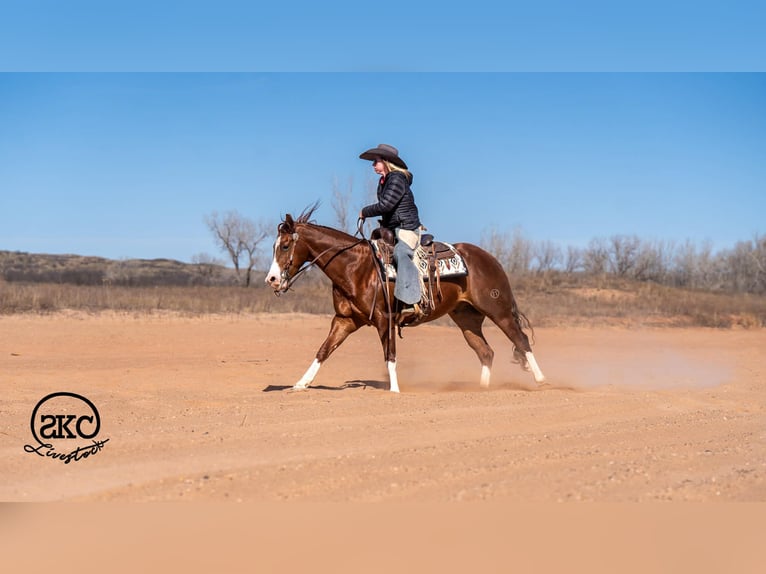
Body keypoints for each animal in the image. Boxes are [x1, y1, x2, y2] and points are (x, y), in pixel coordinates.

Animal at [265, 205, 545, 393]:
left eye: (286, 245)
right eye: (275, 246)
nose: (272, 279)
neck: (357, 267)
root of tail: (491, 259)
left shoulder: (385, 318)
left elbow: (390, 354)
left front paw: (394, 390)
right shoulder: (344, 320)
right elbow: (323, 350)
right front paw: (300, 383)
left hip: (498, 310)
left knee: (520, 340)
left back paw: (541, 380)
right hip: (466, 317)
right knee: (485, 351)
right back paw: (482, 388)